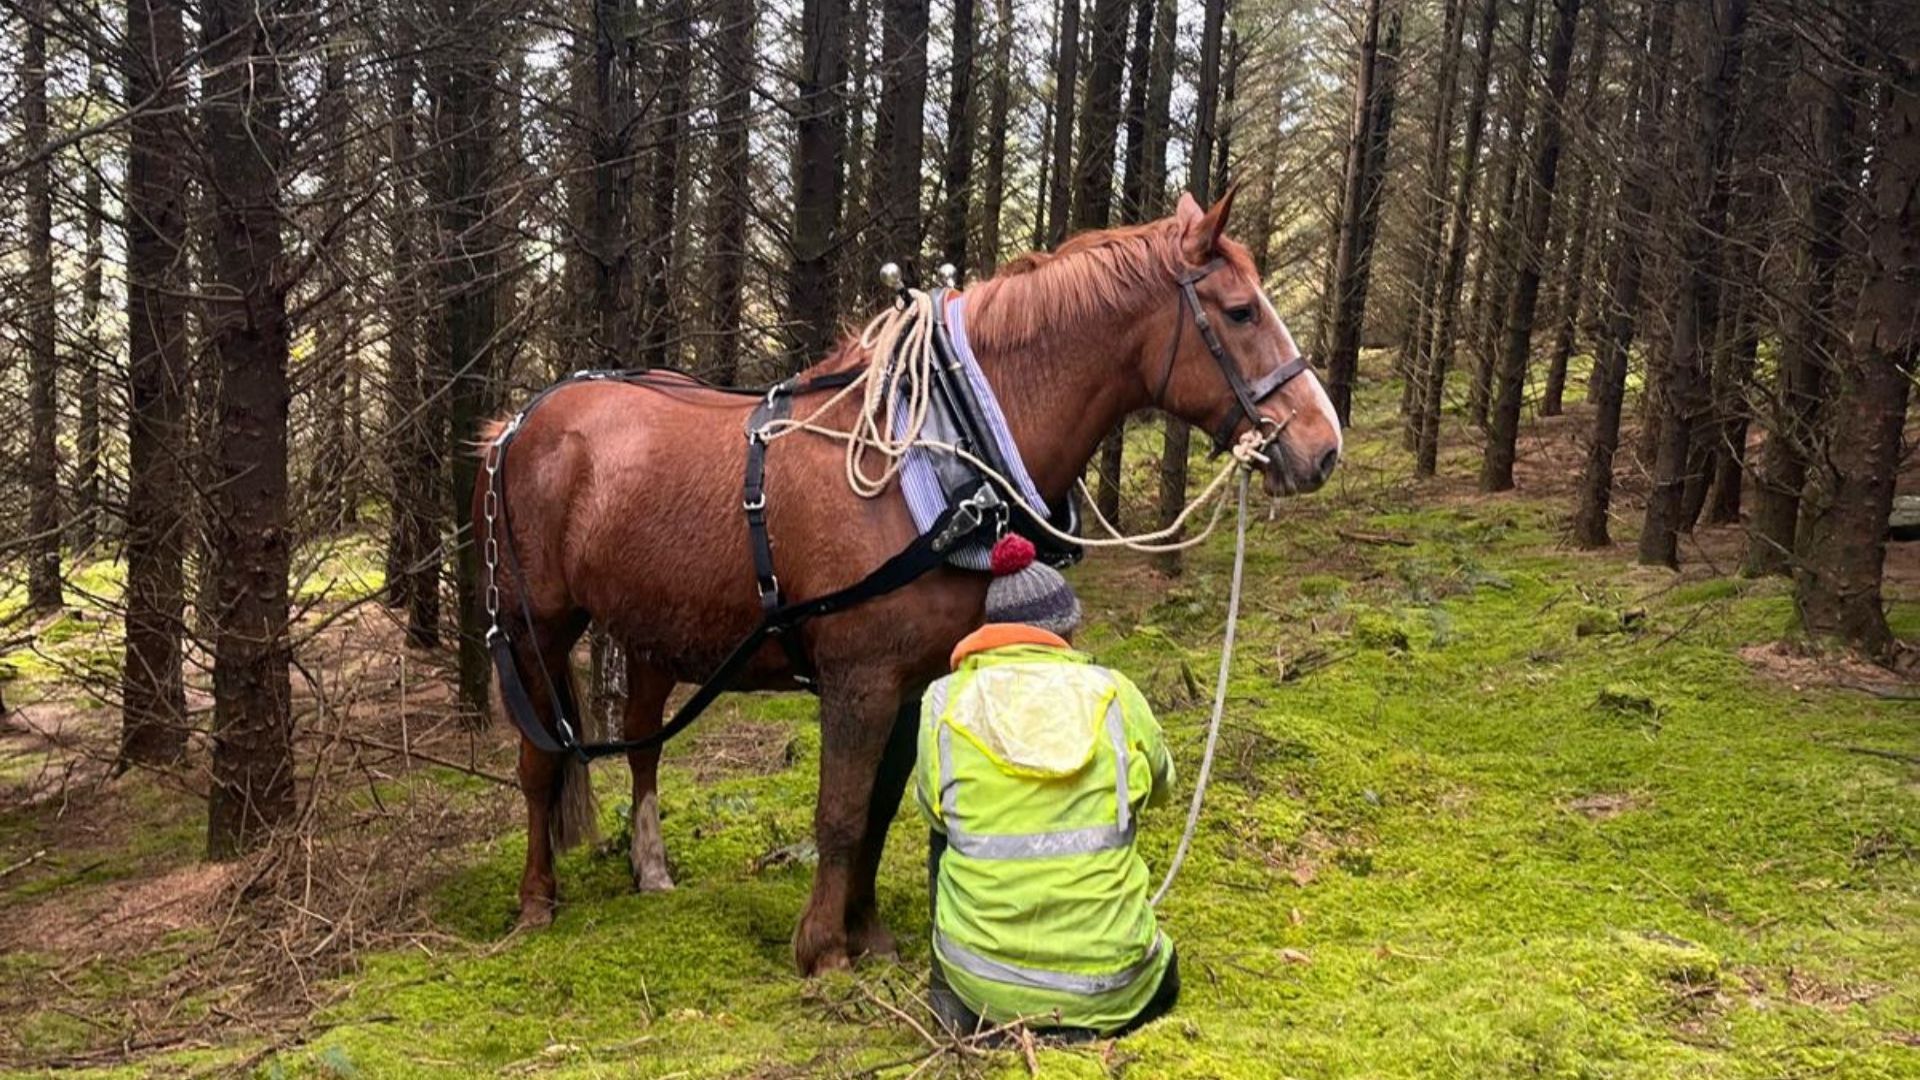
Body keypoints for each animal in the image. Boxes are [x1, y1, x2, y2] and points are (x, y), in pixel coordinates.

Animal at [472, 189, 1342, 975]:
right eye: (1240, 312)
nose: (1322, 445)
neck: (932, 455)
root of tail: (520, 423)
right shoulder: (859, 679)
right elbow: (841, 812)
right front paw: (823, 949)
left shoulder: (910, 679)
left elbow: (881, 810)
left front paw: (869, 935)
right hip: (534, 625)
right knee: (540, 764)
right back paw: (535, 901)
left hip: (652, 630)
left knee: (643, 742)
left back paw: (650, 869)